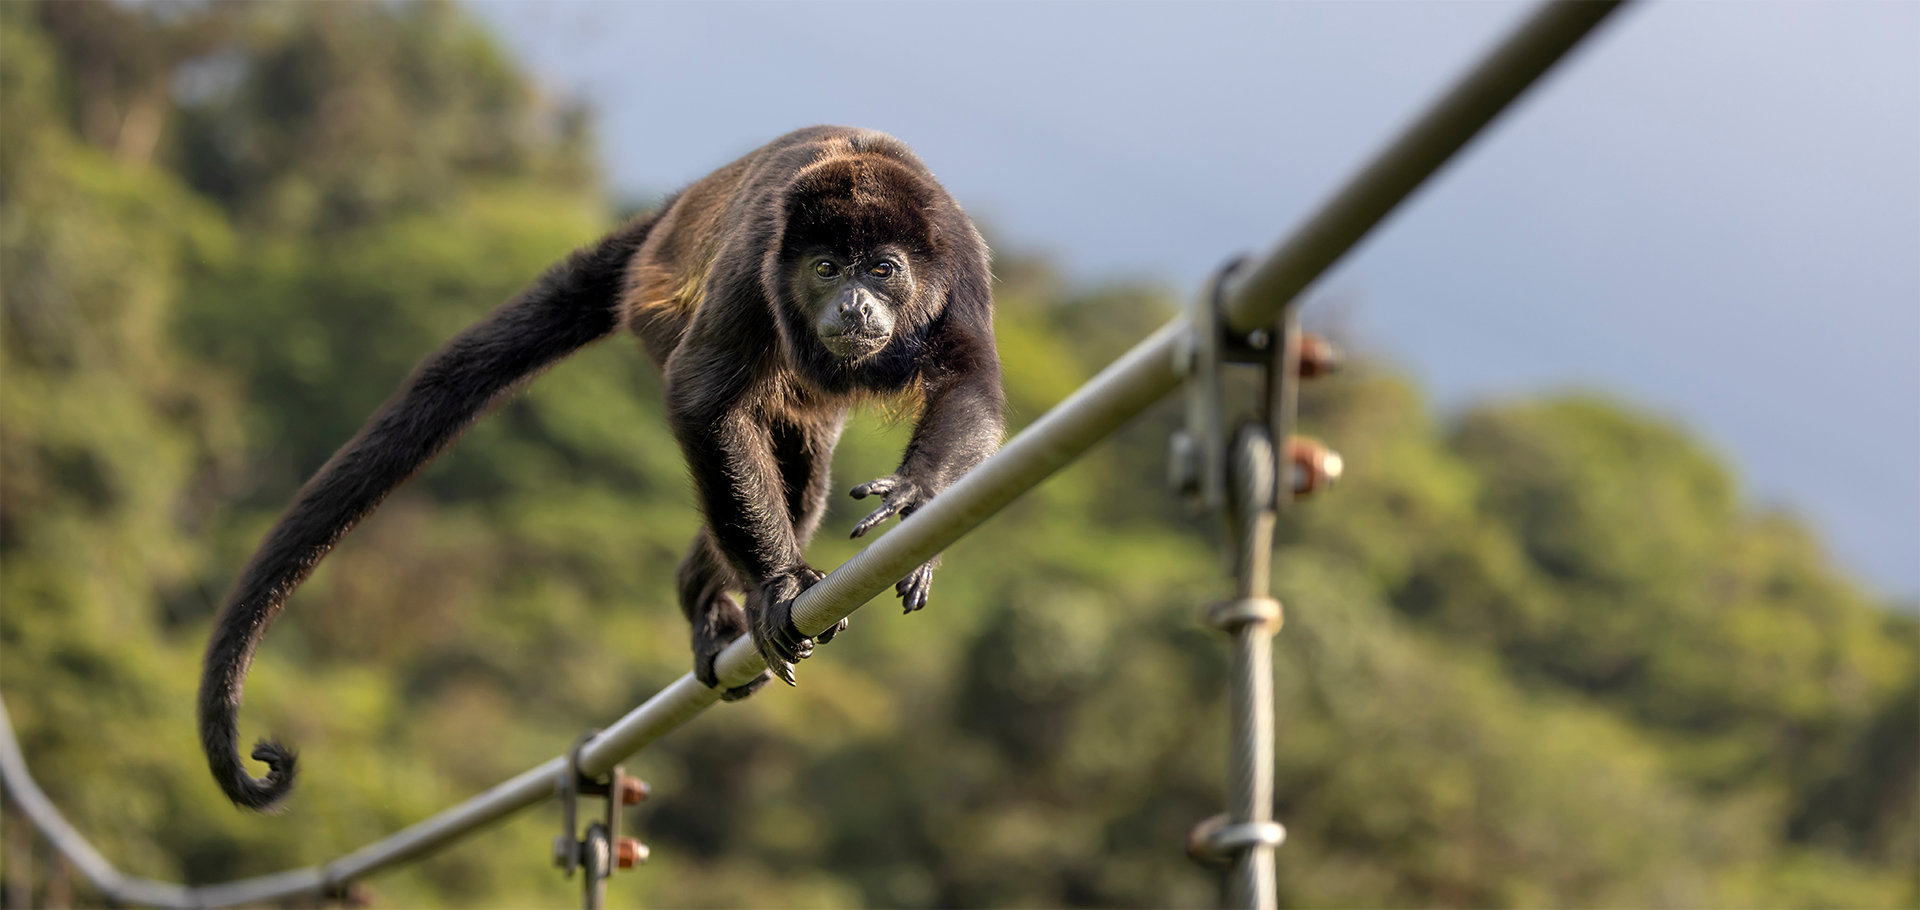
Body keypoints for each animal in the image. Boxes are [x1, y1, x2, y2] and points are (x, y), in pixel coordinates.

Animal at [198, 126, 1005, 811]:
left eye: (883, 269)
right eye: (825, 268)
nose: (852, 304)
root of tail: (667, 214)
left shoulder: (960, 258)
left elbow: (972, 384)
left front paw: (919, 495)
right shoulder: (757, 263)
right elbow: (702, 396)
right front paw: (777, 584)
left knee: (802, 477)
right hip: (660, 306)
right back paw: (708, 603)